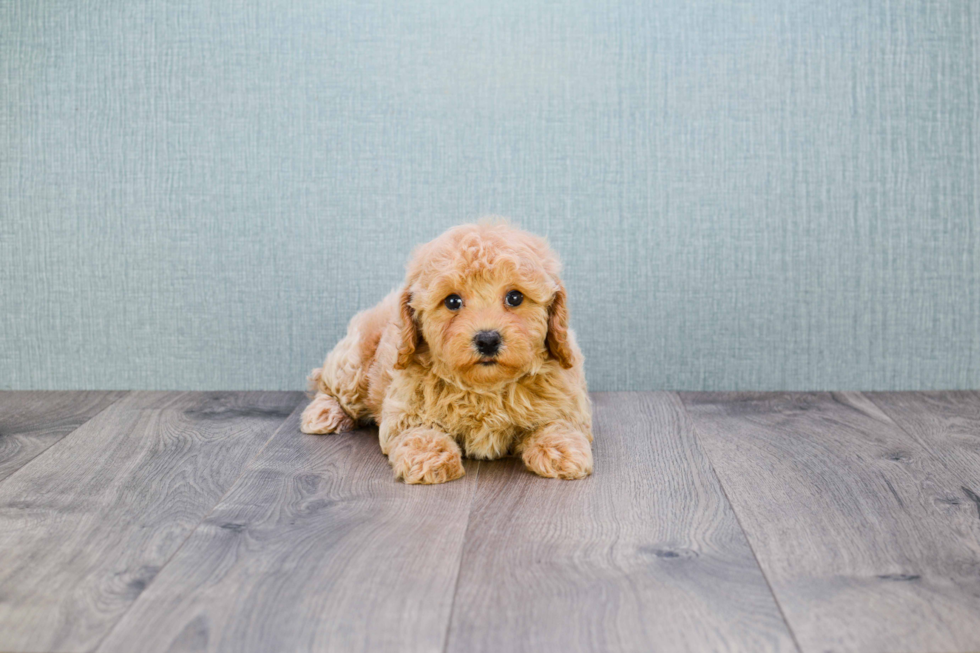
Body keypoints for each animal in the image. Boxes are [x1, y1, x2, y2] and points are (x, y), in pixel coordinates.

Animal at [300, 222, 588, 482]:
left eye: (515, 297)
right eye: (452, 301)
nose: (487, 340)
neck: (486, 388)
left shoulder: (565, 399)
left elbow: (558, 423)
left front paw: (563, 450)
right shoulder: (405, 407)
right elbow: (418, 430)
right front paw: (429, 458)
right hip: (353, 363)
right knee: (328, 384)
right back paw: (324, 413)